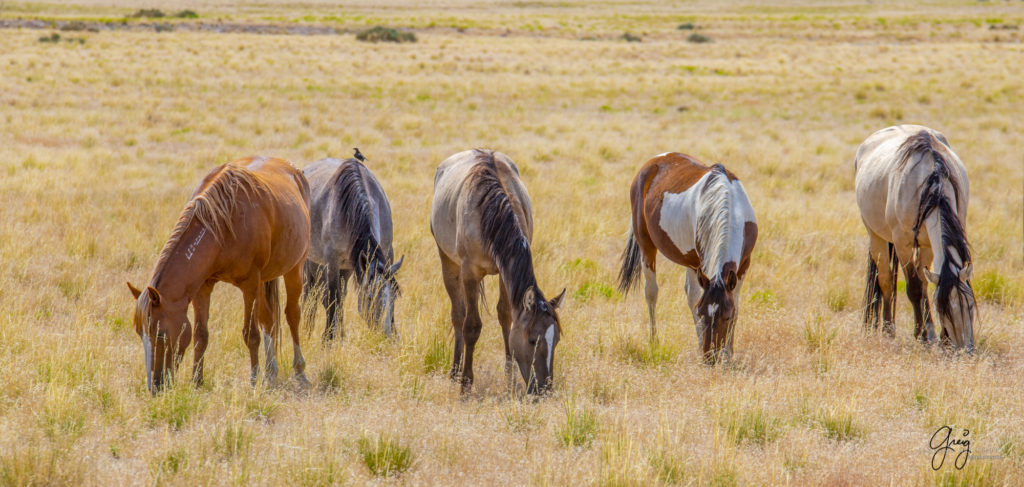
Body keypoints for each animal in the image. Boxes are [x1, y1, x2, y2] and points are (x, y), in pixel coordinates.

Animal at [125, 155, 307, 392]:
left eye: (160, 334)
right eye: (140, 333)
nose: (155, 386)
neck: (221, 226)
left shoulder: (250, 284)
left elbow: (251, 334)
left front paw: (253, 380)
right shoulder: (202, 286)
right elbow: (200, 335)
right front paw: (196, 381)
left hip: (295, 269)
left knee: (292, 315)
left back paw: (299, 370)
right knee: (268, 319)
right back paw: (271, 373)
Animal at [301, 157, 401, 339]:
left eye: (394, 298)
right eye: (370, 297)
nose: (387, 336)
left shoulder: (388, 252)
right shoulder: (331, 261)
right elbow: (332, 299)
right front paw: (328, 339)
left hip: (346, 267)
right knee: (311, 295)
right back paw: (308, 331)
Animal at [428, 149, 565, 394]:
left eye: (556, 340)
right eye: (532, 340)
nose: (545, 389)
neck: (491, 212)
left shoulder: (504, 273)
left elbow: (505, 315)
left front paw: (510, 376)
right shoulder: (469, 273)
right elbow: (471, 325)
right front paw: (465, 383)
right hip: (448, 263)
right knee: (458, 316)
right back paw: (454, 372)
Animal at [610, 152, 757, 362]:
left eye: (726, 317)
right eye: (702, 313)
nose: (710, 357)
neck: (728, 204)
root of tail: (653, 161)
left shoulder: (743, 264)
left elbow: (735, 304)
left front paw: (728, 353)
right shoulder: (702, 264)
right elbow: (694, 300)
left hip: (690, 261)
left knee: (689, 292)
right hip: (648, 246)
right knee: (652, 292)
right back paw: (654, 342)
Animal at [856, 123, 974, 349]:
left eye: (970, 305)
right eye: (943, 310)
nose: (965, 350)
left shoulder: (928, 244)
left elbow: (926, 284)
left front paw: (932, 335)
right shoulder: (903, 244)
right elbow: (914, 289)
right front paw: (921, 334)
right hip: (876, 237)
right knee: (885, 280)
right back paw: (888, 330)